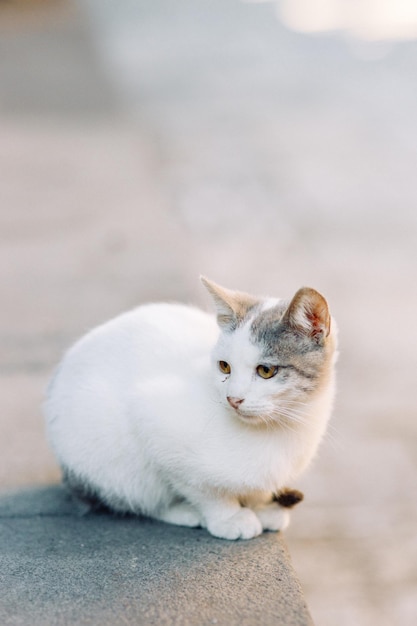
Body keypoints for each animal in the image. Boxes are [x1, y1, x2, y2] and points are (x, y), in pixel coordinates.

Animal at [44, 276, 338, 540]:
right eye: (224, 366)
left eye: (266, 370)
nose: (233, 399)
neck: (279, 429)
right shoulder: (154, 418)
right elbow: (200, 487)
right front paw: (228, 516)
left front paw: (262, 506)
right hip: (102, 454)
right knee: (133, 496)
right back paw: (181, 511)